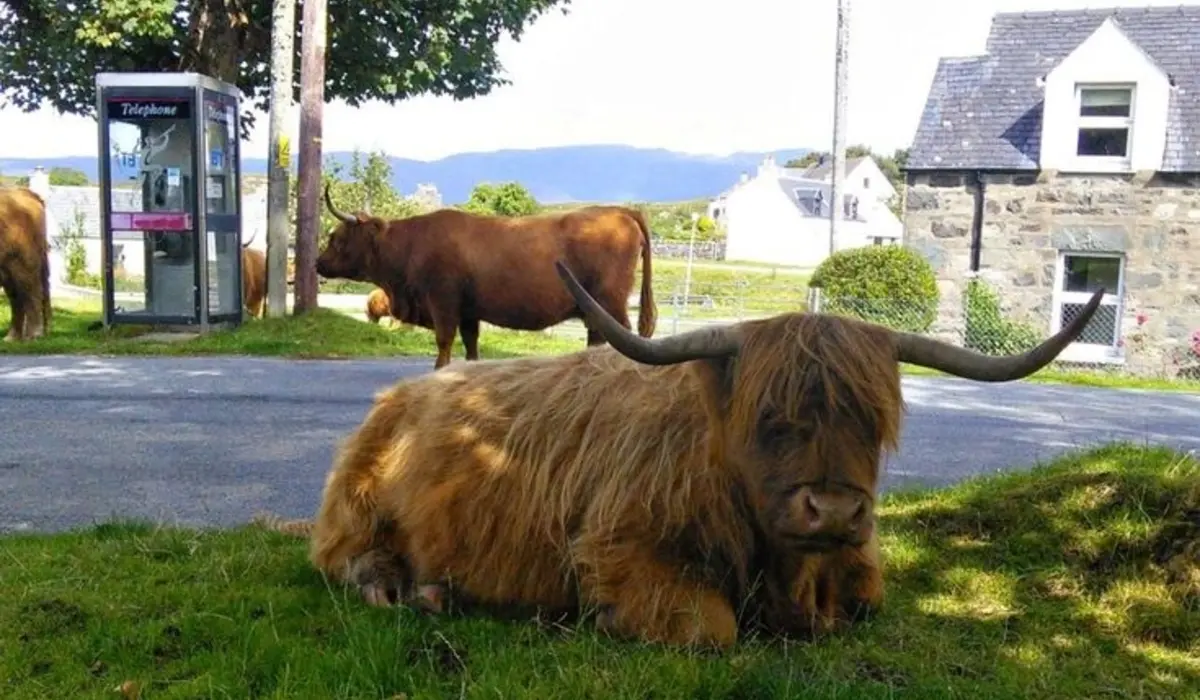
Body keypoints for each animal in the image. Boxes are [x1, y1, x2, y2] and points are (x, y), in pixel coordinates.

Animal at [262, 260, 1104, 649]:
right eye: (770, 418)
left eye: (873, 420)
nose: (833, 509)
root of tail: (403, 391)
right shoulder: (618, 546)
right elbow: (710, 628)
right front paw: (603, 619)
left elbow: (867, 598)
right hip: (356, 507)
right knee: (344, 557)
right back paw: (407, 589)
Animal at [316, 185, 658, 369]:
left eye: (336, 237)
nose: (318, 263)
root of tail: (621, 211)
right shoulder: (469, 313)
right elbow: (471, 349)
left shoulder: (443, 303)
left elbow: (443, 346)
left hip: (610, 303)